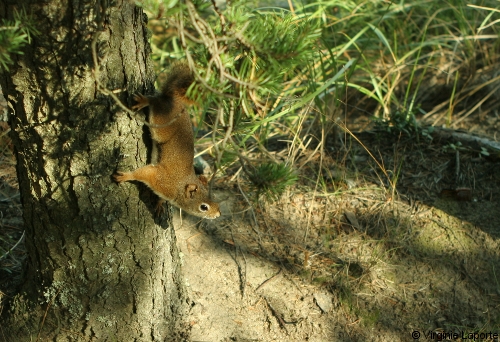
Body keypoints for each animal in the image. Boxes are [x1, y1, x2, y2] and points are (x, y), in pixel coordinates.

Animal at [116, 61, 222, 219]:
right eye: (204, 207)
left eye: (214, 199)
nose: (218, 214)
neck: (179, 187)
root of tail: (174, 99)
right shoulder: (161, 179)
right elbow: (142, 173)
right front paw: (126, 176)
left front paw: (159, 205)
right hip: (160, 122)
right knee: (155, 101)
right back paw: (144, 100)